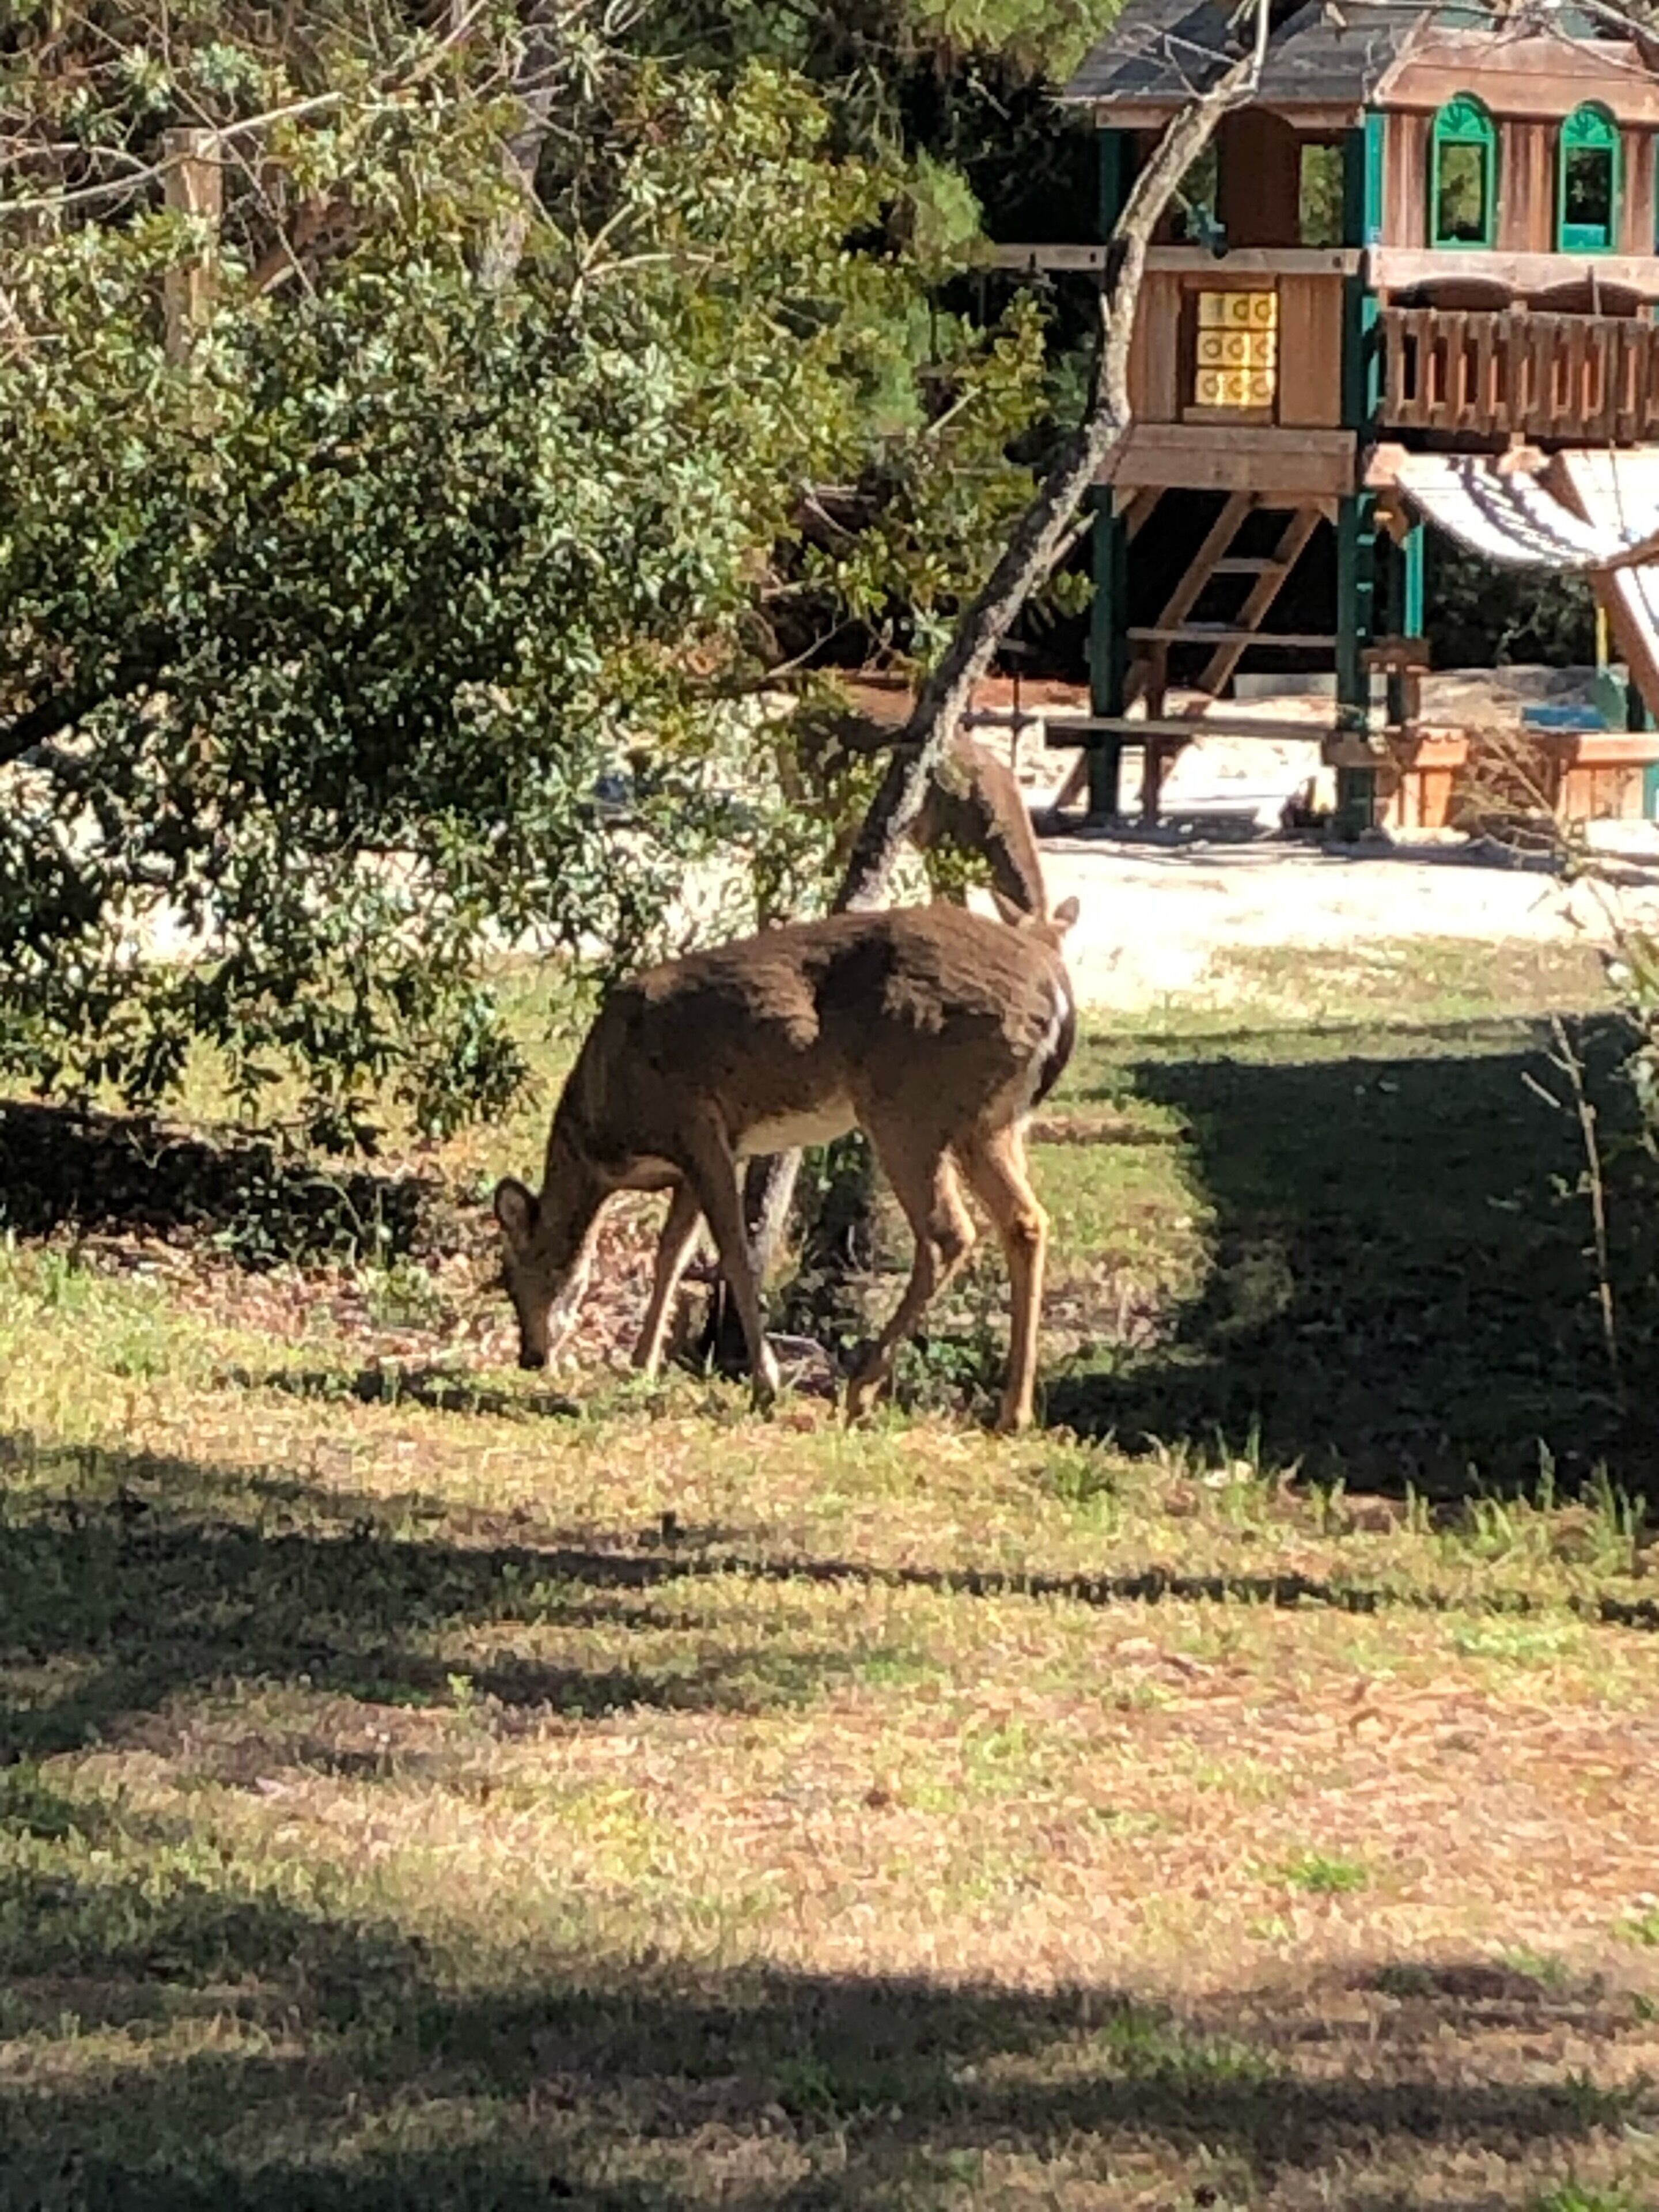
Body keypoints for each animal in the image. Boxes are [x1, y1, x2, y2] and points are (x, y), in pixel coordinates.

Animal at [492, 897, 1079, 1433]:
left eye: (515, 1277)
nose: (531, 1356)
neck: (607, 1134)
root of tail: (1055, 989)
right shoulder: (700, 1155)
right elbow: (671, 1255)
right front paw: (641, 1367)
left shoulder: (699, 1124)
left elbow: (735, 1254)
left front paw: (765, 1384)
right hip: (990, 1121)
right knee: (1025, 1221)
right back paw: (1013, 1414)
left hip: (909, 1105)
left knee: (948, 1233)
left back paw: (859, 1394)